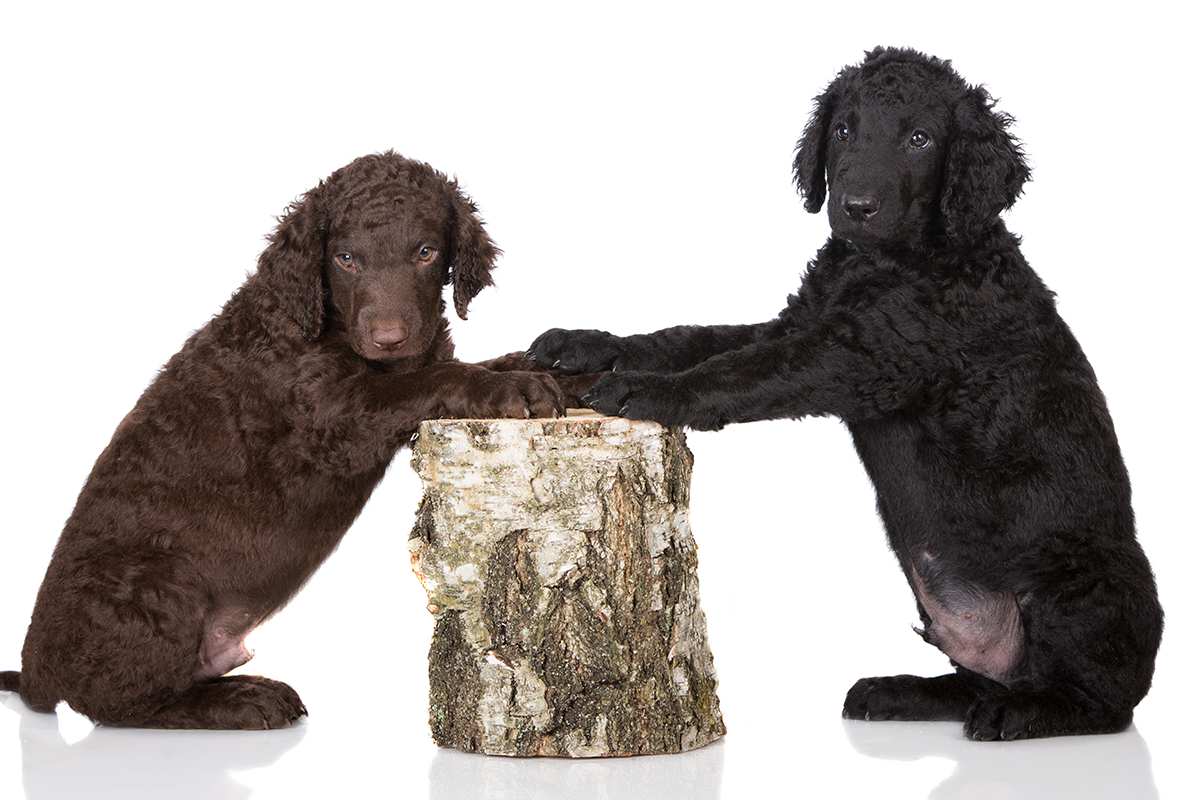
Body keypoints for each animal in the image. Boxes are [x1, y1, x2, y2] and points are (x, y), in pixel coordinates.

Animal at [0, 153, 580, 729]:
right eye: (345, 258)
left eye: (425, 252)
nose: (388, 337)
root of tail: (35, 674)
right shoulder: (331, 418)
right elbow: (433, 379)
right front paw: (512, 387)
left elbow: (479, 362)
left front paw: (557, 370)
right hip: (159, 580)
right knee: (126, 704)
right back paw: (242, 700)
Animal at [528, 47, 1161, 743]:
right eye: (844, 131)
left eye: (920, 139)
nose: (855, 206)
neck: (886, 262)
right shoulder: (800, 323)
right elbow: (693, 338)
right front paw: (588, 344)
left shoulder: (860, 355)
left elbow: (738, 371)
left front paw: (647, 389)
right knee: (977, 679)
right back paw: (904, 691)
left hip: (1085, 586)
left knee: (1101, 699)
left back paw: (1021, 711)